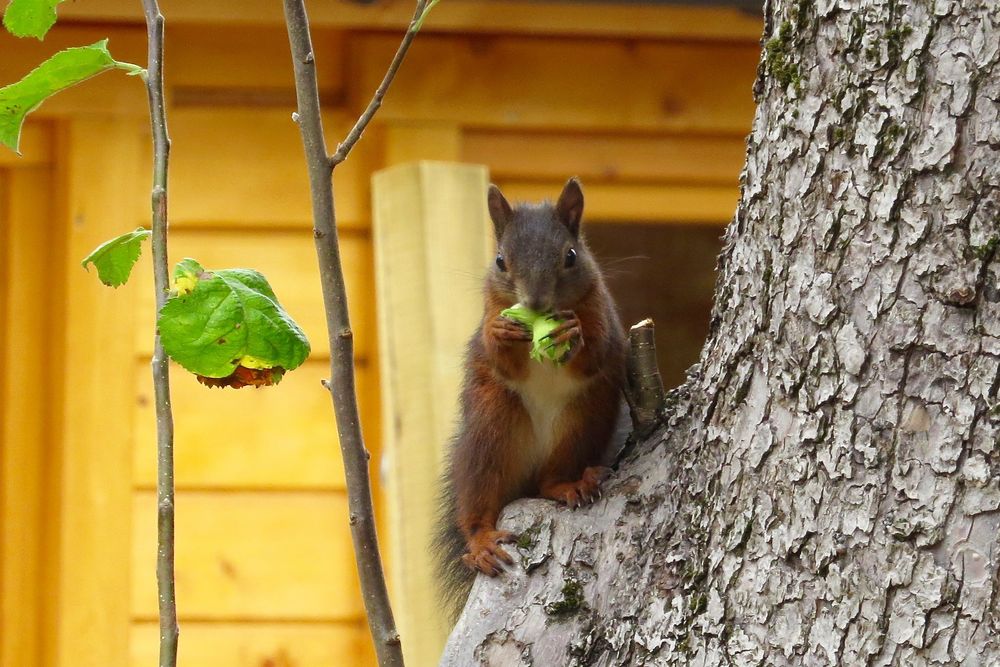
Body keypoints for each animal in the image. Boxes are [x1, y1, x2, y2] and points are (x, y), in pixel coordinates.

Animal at [436, 176, 624, 616]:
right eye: (500, 261)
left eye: (570, 255)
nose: (536, 303)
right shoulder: (491, 309)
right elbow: (502, 360)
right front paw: (503, 334)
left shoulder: (602, 313)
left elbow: (595, 351)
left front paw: (570, 334)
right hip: (490, 430)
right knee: (477, 501)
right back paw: (481, 542)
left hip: (582, 423)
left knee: (549, 481)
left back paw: (570, 485)